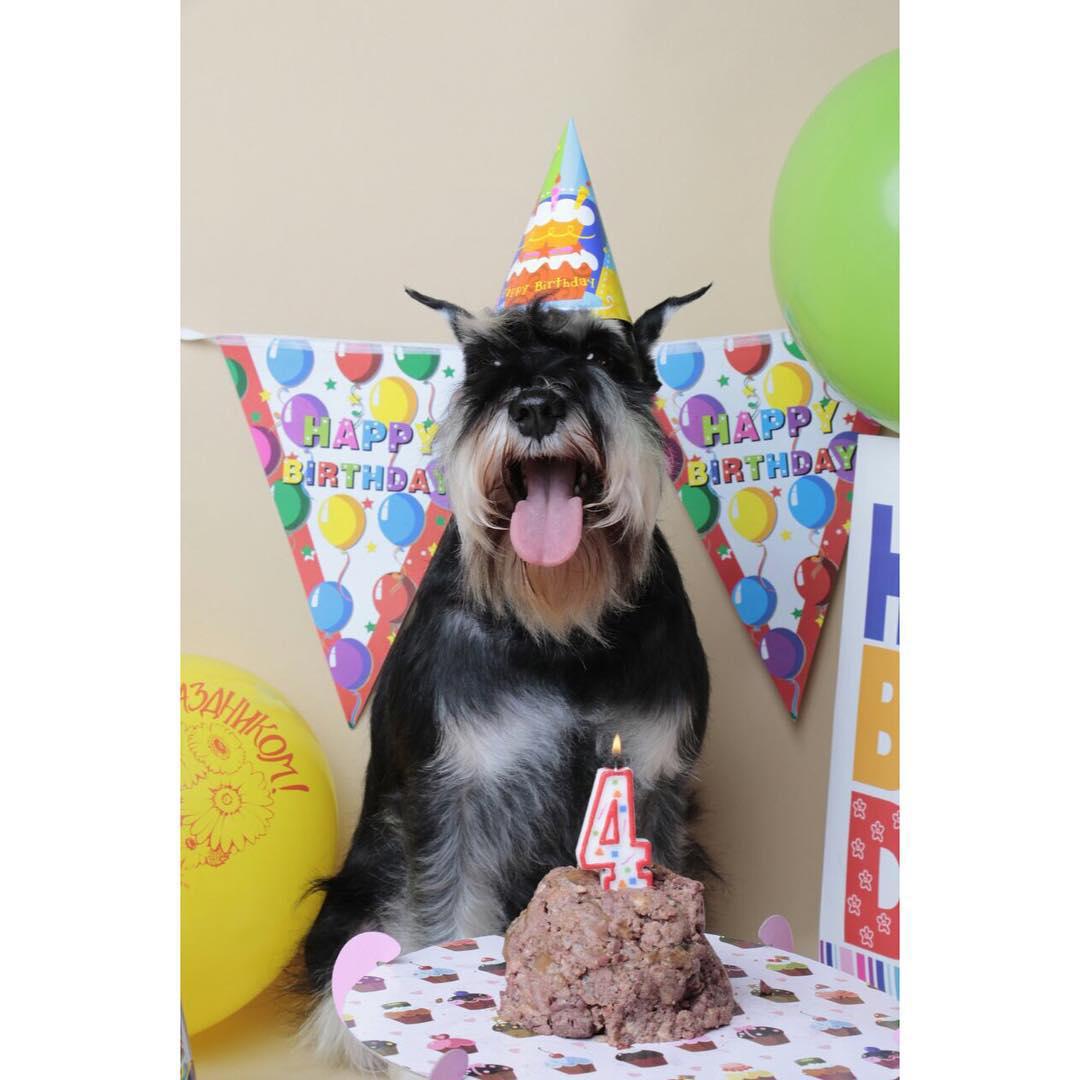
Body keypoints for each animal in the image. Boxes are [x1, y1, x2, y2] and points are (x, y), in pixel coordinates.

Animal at [300, 282, 712, 1067]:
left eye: (601, 355)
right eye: (488, 362)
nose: (535, 407)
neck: (563, 630)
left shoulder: (654, 785)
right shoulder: (456, 798)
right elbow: (449, 924)